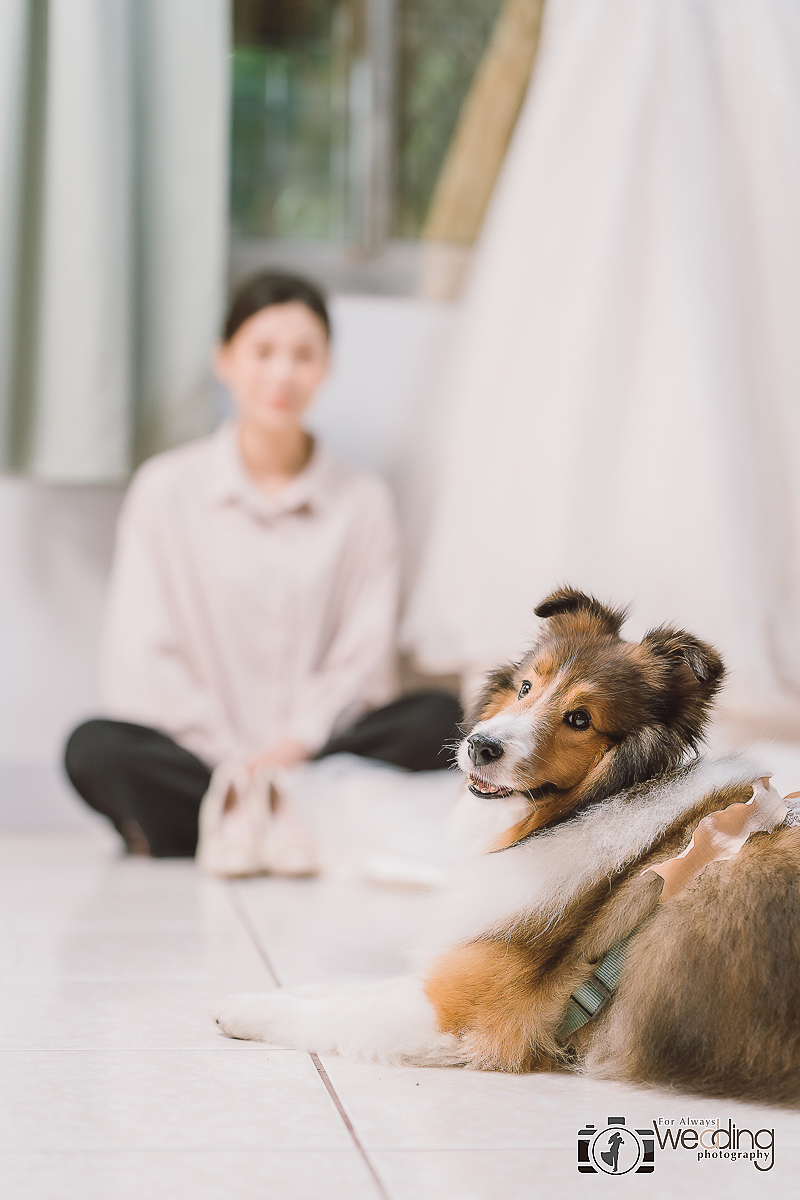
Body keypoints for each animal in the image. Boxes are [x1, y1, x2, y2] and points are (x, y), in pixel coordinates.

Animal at [212, 590, 800, 1104]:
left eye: (580, 719)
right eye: (525, 687)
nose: (480, 746)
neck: (595, 807)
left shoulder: (464, 1014)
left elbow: (334, 1013)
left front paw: (244, 1009)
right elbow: (348, 989)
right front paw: (277, 989)